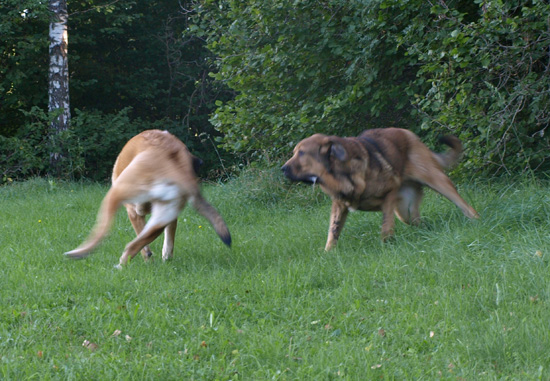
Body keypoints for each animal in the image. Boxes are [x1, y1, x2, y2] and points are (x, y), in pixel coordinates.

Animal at [66, 130, 232, 268]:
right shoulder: (168, 216)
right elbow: (166, 238)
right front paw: (164, 257)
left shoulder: (133, 212)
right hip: (162, 215)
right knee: (133, 245)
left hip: (117, 194)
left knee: (103, 232)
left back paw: (79, 253)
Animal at [282, 127, 480, 249]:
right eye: (295, 153)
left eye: (302, 153)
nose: (282, 169)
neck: (341, 174)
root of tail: (410, 134)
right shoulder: (339, 205)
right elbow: (333, 232)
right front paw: (328, 253)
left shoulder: (389, 195)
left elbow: (386, 224)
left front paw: (387, 244)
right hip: (406, 211)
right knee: (419, 222)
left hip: (436, 181)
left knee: (465, 206)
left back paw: (476, 220)